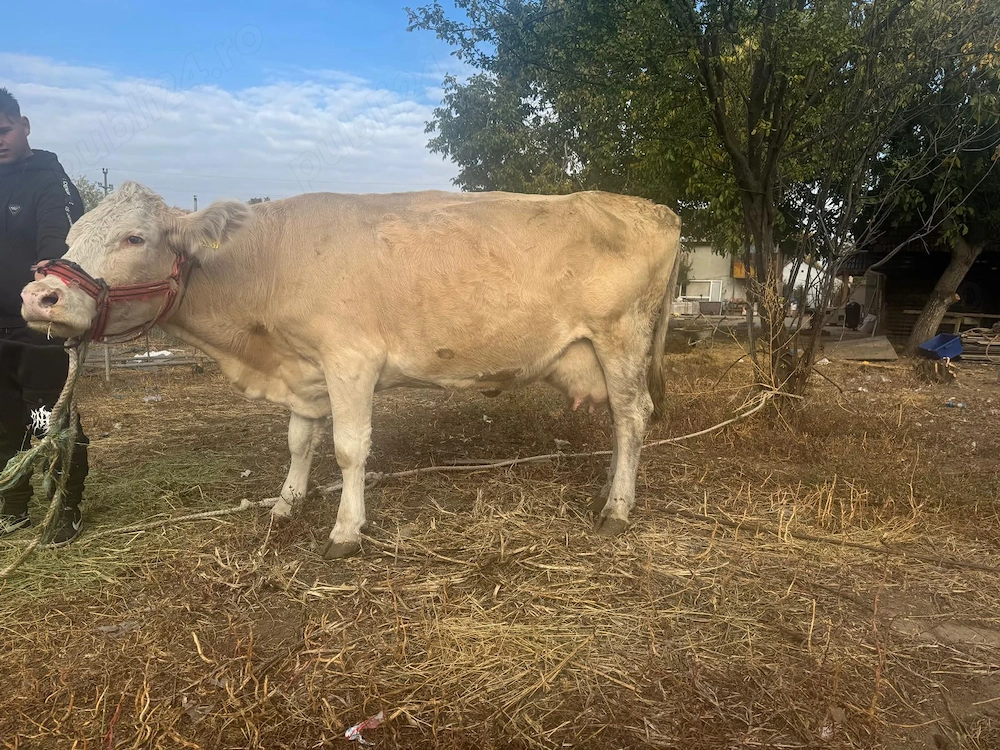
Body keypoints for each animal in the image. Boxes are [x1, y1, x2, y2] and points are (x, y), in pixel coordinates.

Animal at [20, 182, 681, 559]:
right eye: (73, 233)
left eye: (135, 237)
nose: (39, 296)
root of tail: (651, 209)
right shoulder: (305, 371)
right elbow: (299, 439)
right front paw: (286, 503)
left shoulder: (351, 360)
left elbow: (347, 448)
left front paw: (345, 529)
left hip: (621, 337)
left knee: (633, 418)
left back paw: (617, 508)